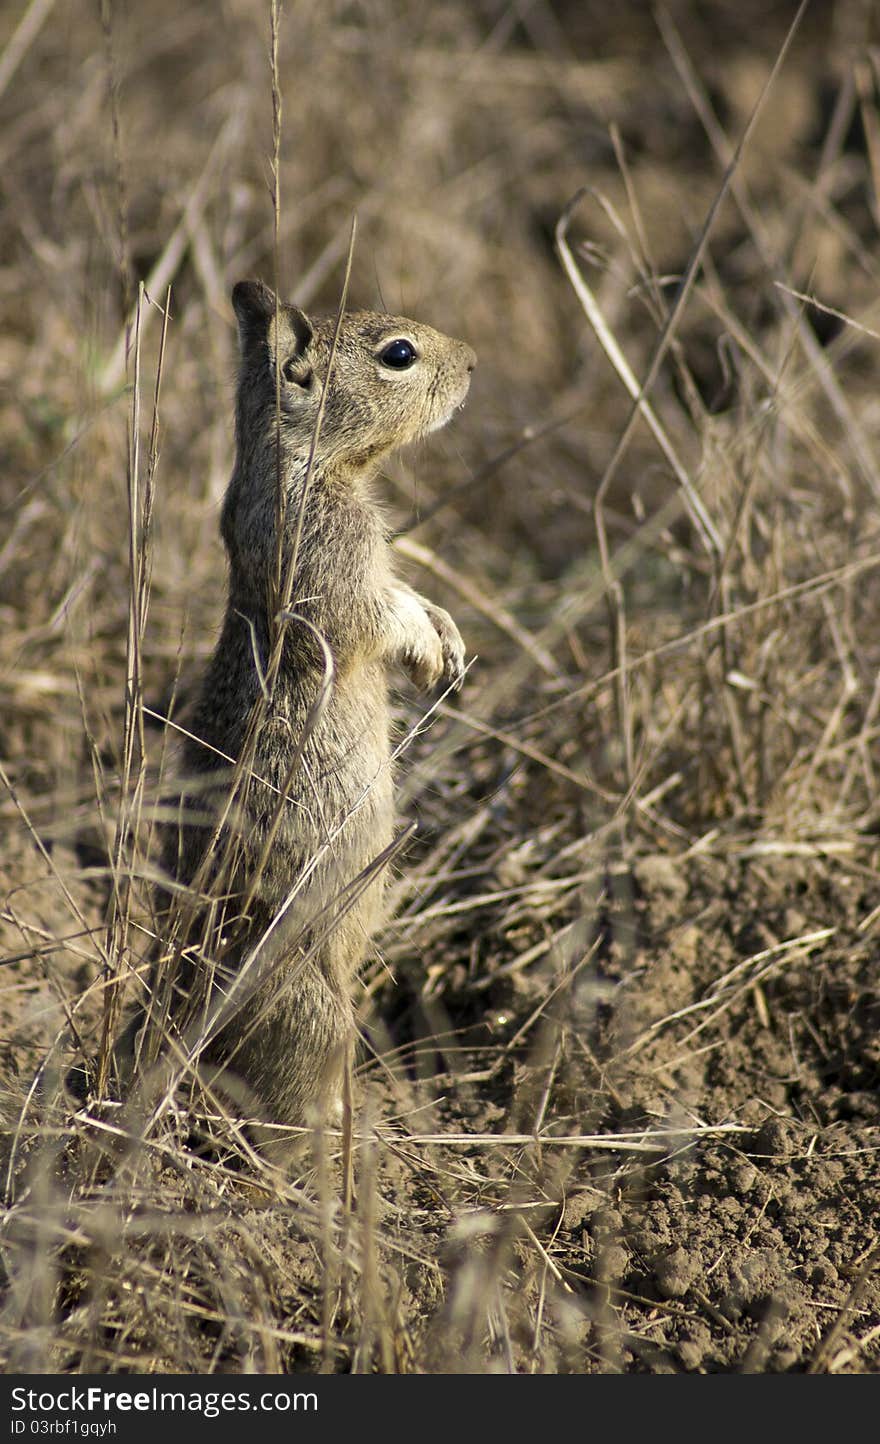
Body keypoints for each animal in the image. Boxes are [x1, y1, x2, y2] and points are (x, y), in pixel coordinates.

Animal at [118, 275, 473, 1143]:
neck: (300, 458)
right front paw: (432, 652)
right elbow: (383, 615)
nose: (474, 363)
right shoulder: (338, 569)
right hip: (312, 1008)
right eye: (399, 355)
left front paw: (452, 640)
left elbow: (413, 597)